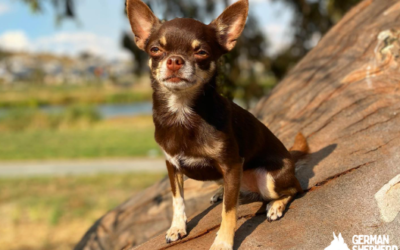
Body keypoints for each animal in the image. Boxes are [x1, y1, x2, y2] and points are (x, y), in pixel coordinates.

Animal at [126, 0, 308, 249]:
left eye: (201, 52)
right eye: (155, 50)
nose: (174, 60)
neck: (182, 112)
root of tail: (290, 157)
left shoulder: (231, 165)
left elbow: (228, 212)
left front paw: (222, 242)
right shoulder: (172, 166)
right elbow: (177, 199)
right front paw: (177, 227)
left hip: (269, 178)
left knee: (294, 188)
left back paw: (276, 205)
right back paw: (223, 193)